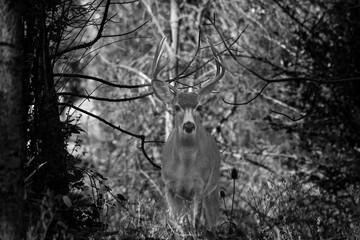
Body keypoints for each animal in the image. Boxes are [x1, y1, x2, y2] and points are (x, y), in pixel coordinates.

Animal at [150, 36, 224, 232]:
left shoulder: (200, 188)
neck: (184, 168)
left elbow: (195, 224)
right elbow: (177, 223)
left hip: (213, 189)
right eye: (176, 107)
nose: (189, 125)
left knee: (212, 223)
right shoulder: (169, 186)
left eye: (199, 107)